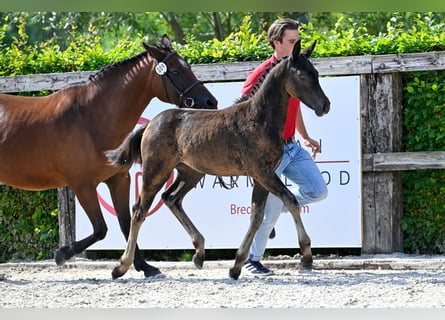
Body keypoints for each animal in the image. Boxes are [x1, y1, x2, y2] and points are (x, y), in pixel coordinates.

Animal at [0, 33, 217, 276]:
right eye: (176, 71)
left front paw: (142, 266)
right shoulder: (82, 185)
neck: (90, 118)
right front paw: (62, 254)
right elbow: (101, 229)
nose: (210, 102)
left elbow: (127, 221)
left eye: (188, 66)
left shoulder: (119, 179)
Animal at [107, 40, 330, 280]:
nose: (325, 105)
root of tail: (150, 123)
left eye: (316, 73)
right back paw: (122, 266)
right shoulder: (261, 172)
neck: (259, 119)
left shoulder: (263, 176)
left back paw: (199, 252)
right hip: (156, 171)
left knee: (171, 198)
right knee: (139, 210)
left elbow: (257, 215)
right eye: (302, 76)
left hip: (191, 172)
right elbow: (290, 200)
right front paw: (306, 255)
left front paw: (236, 265)